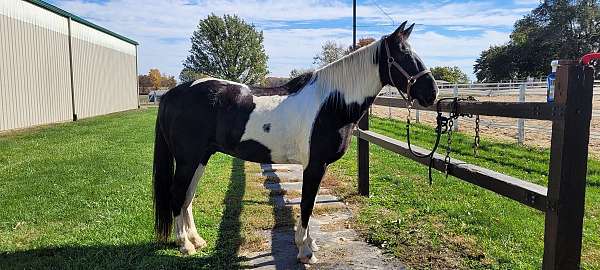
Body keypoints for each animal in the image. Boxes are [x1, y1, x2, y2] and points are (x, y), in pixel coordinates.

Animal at [152, 21, 438, 264]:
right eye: (403, 54)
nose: (432, 93)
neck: (330, 103)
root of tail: (171, 94)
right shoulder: (314, 165)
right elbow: (306, 204)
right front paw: (305, 251)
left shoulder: (317, 166)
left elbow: (309, 204)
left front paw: (308, 244)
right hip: (188, 159)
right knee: (178, 194)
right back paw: (185, 245)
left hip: (200, 158)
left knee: (187, 196)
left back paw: (197, 240)